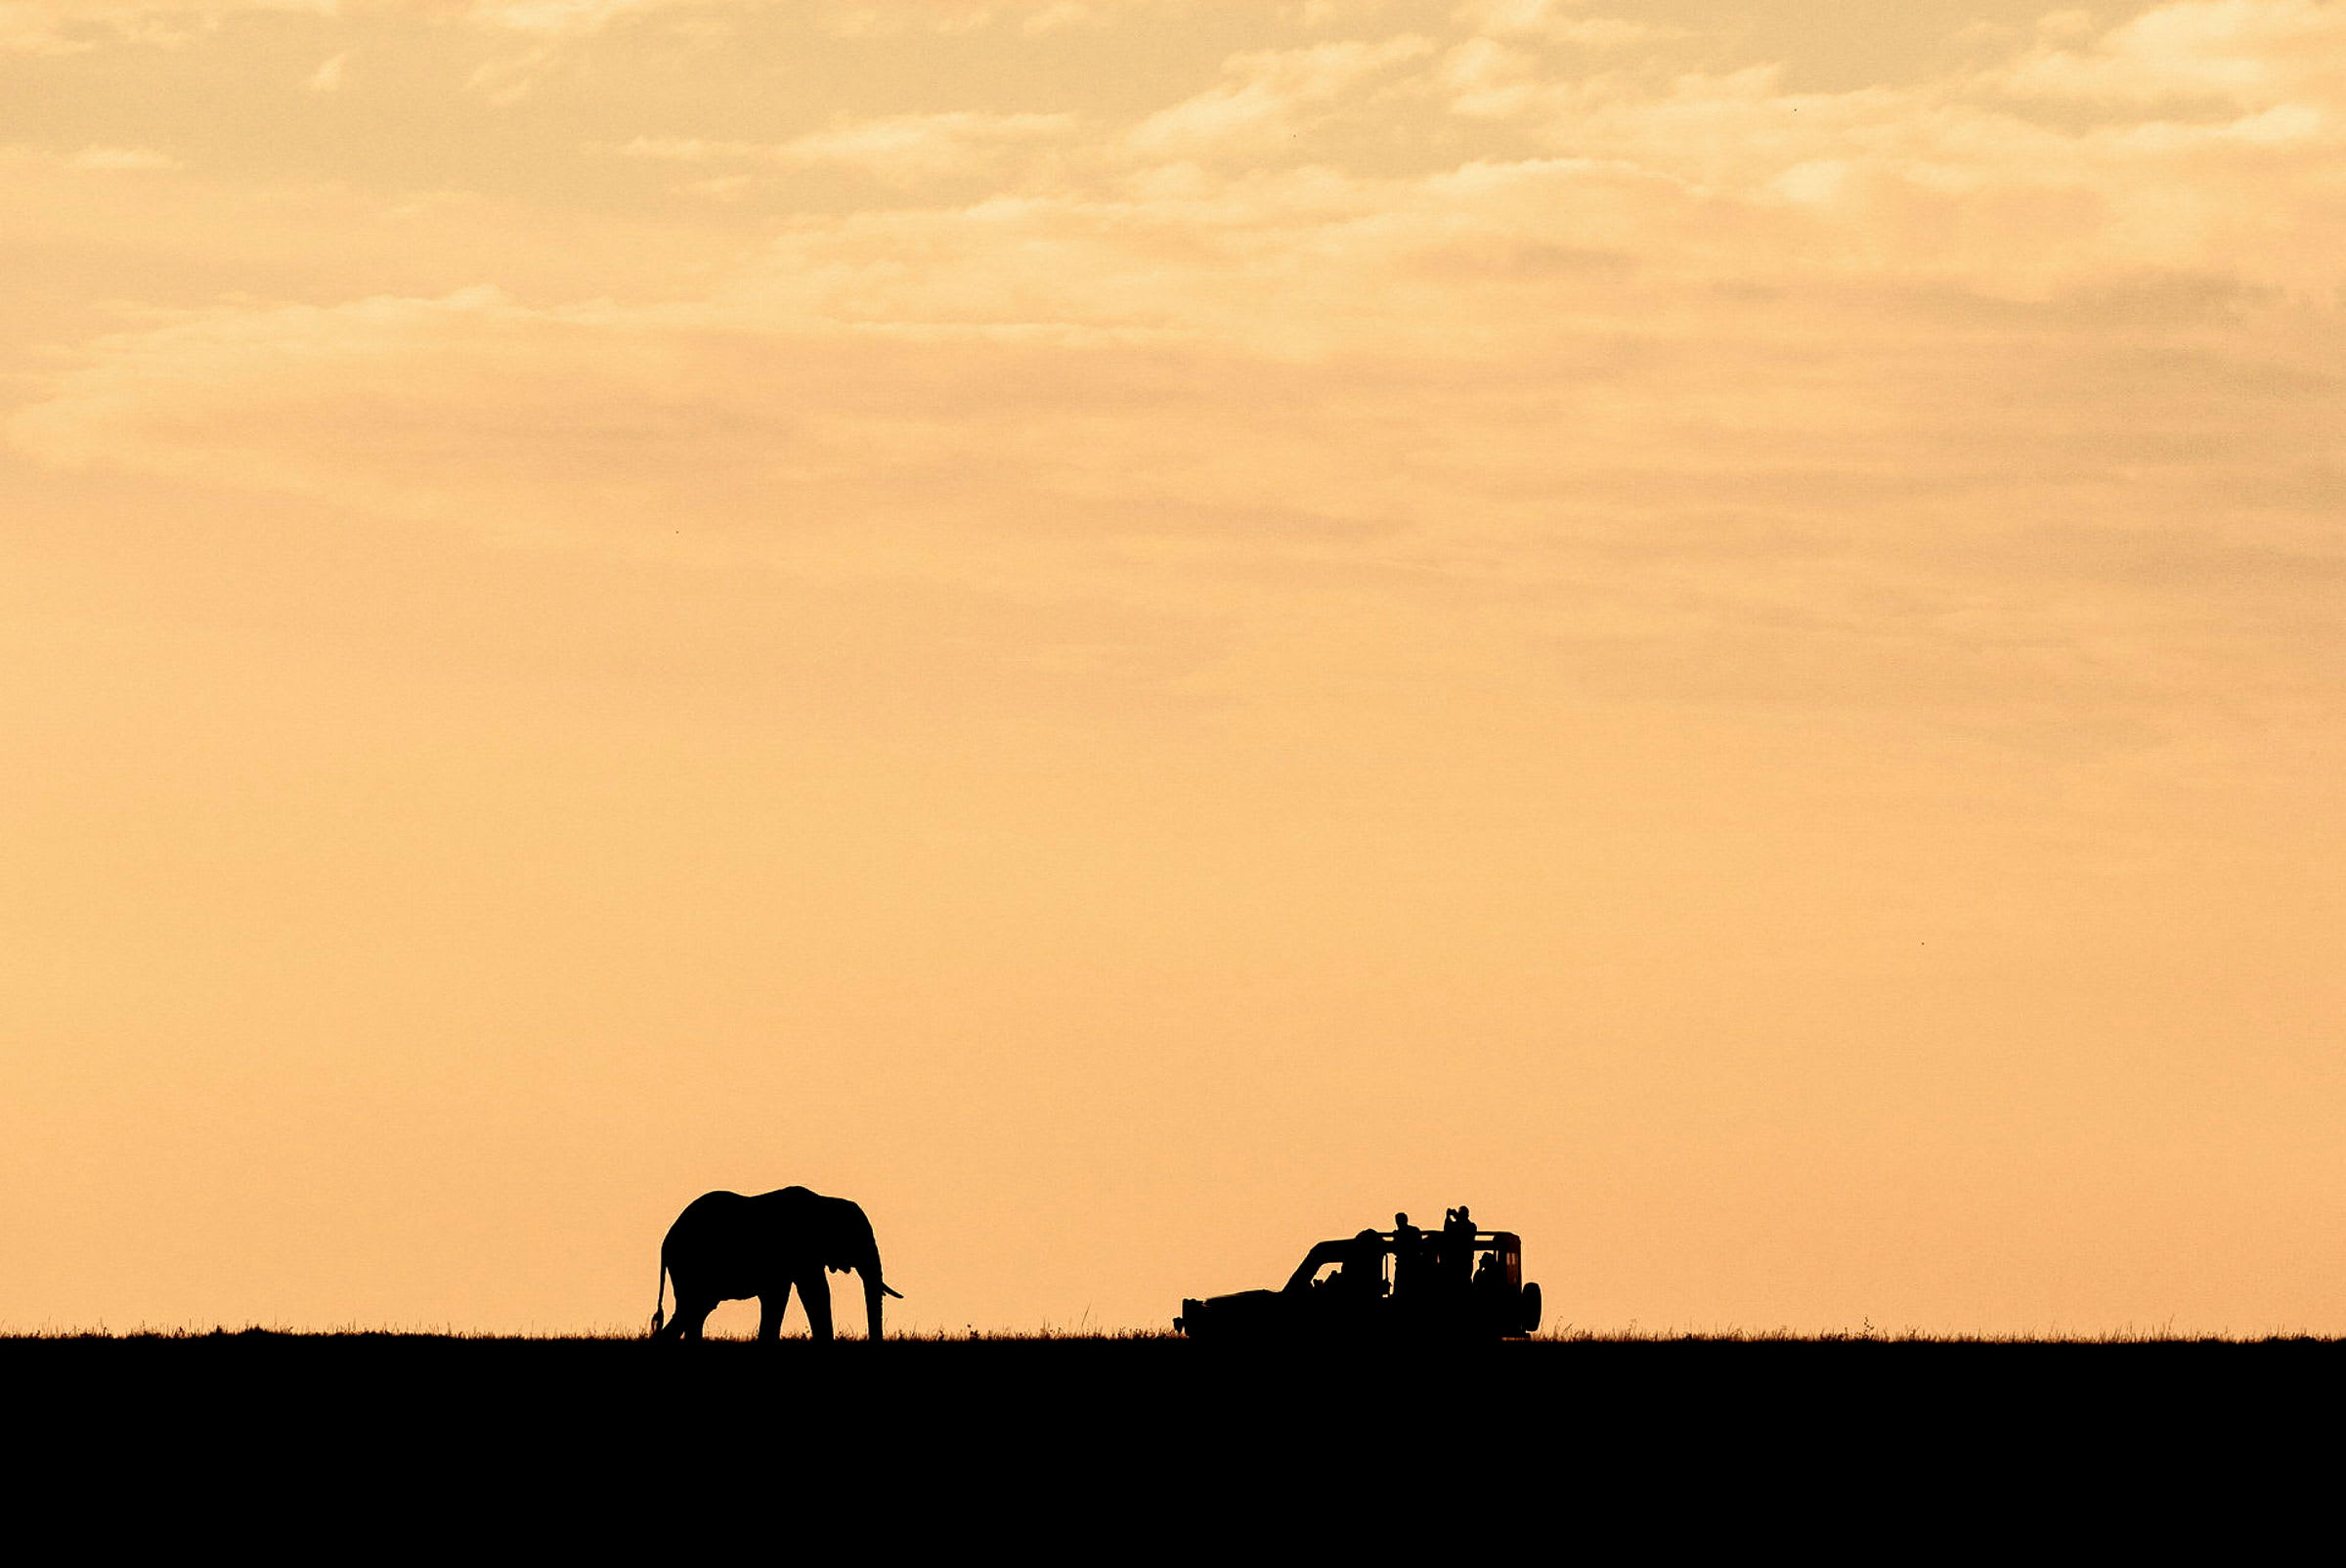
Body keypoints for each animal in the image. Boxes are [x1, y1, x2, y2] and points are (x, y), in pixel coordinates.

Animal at [650, 1186, 901, 1342]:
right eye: (856, 1238)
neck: (825, 1201)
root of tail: (665, 1242)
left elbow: (779, 1296)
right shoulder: (800, 1248)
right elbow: (815, 1292)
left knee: (695, 1310)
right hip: (690, 1264)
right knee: (693, 1307)